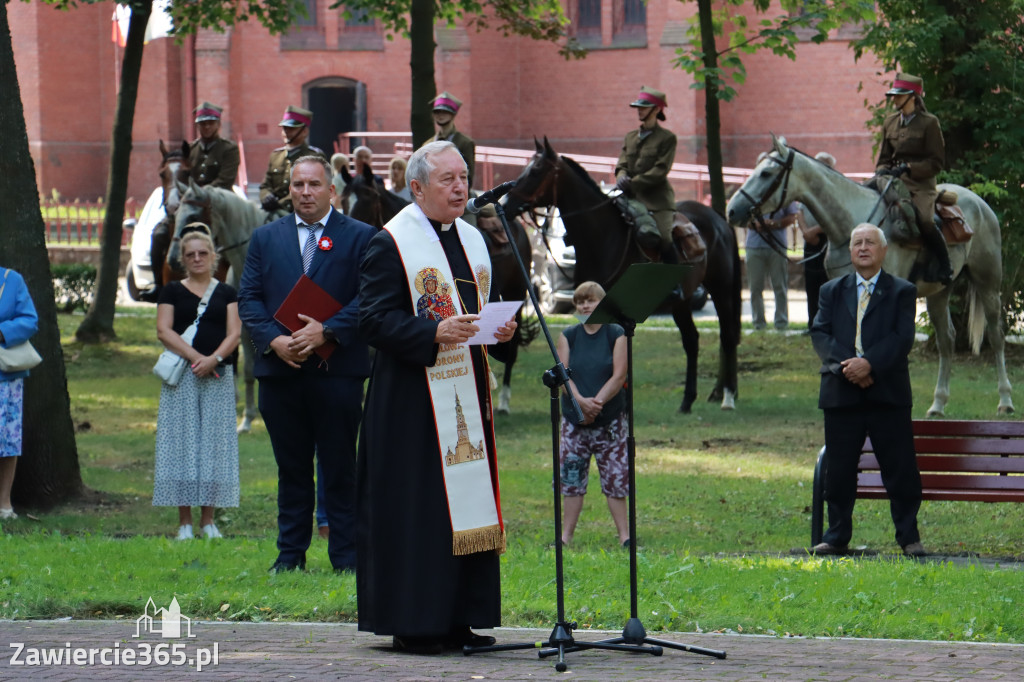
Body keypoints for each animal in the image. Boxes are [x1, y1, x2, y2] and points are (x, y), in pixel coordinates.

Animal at [166, 180, 268, 430]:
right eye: (175, 214)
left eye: (194, 215)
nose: (174, 261)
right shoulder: (243, 329)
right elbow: (249, 369)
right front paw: (248, 418)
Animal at [501, 137, 737, 409]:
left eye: (536, 170)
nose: (506, 205)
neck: (602, 236)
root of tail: (717, 217)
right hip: (681, 303)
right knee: (691, 340)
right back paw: (687, 402)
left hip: (722, 290)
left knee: (728, 337)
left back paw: (728, 397)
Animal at [729, 134, 1007, 413]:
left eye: (765, 173)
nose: (731, 210)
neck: (853, 225)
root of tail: (980, 203)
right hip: (939, 292)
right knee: (947, 340)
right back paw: (938, 404)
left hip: (988, 283)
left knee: (996, 335)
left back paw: (1005, 401)